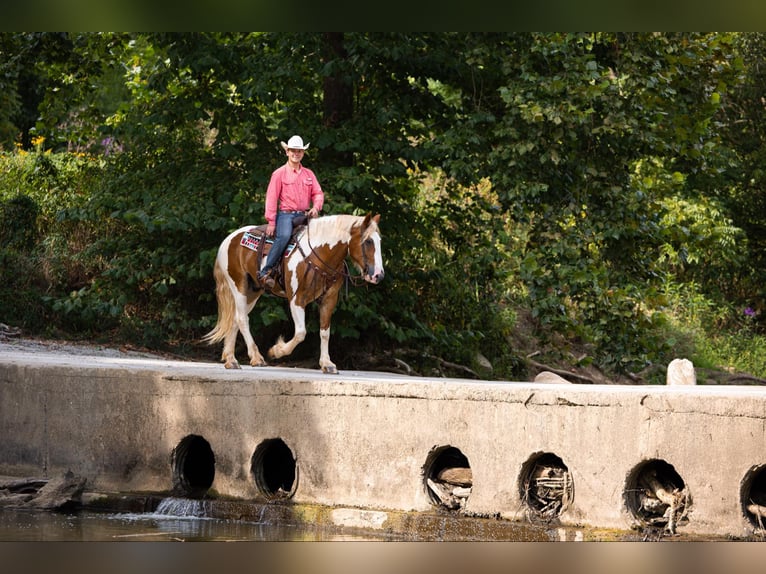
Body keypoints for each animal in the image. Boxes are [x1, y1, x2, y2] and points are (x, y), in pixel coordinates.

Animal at [203, 213, 384, 373]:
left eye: (379, 241)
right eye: (368, 241)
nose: (378, 275)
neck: (319, 254)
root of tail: (229, 239)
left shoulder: (329, 299)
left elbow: (325, 332)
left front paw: (327, 364)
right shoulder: (297, 299)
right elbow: (301, 333)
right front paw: (277, 351)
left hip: (253, 292)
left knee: (235, 319)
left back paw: (231, 360)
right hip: (239, 286)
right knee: (242, 319)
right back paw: (256, 357)